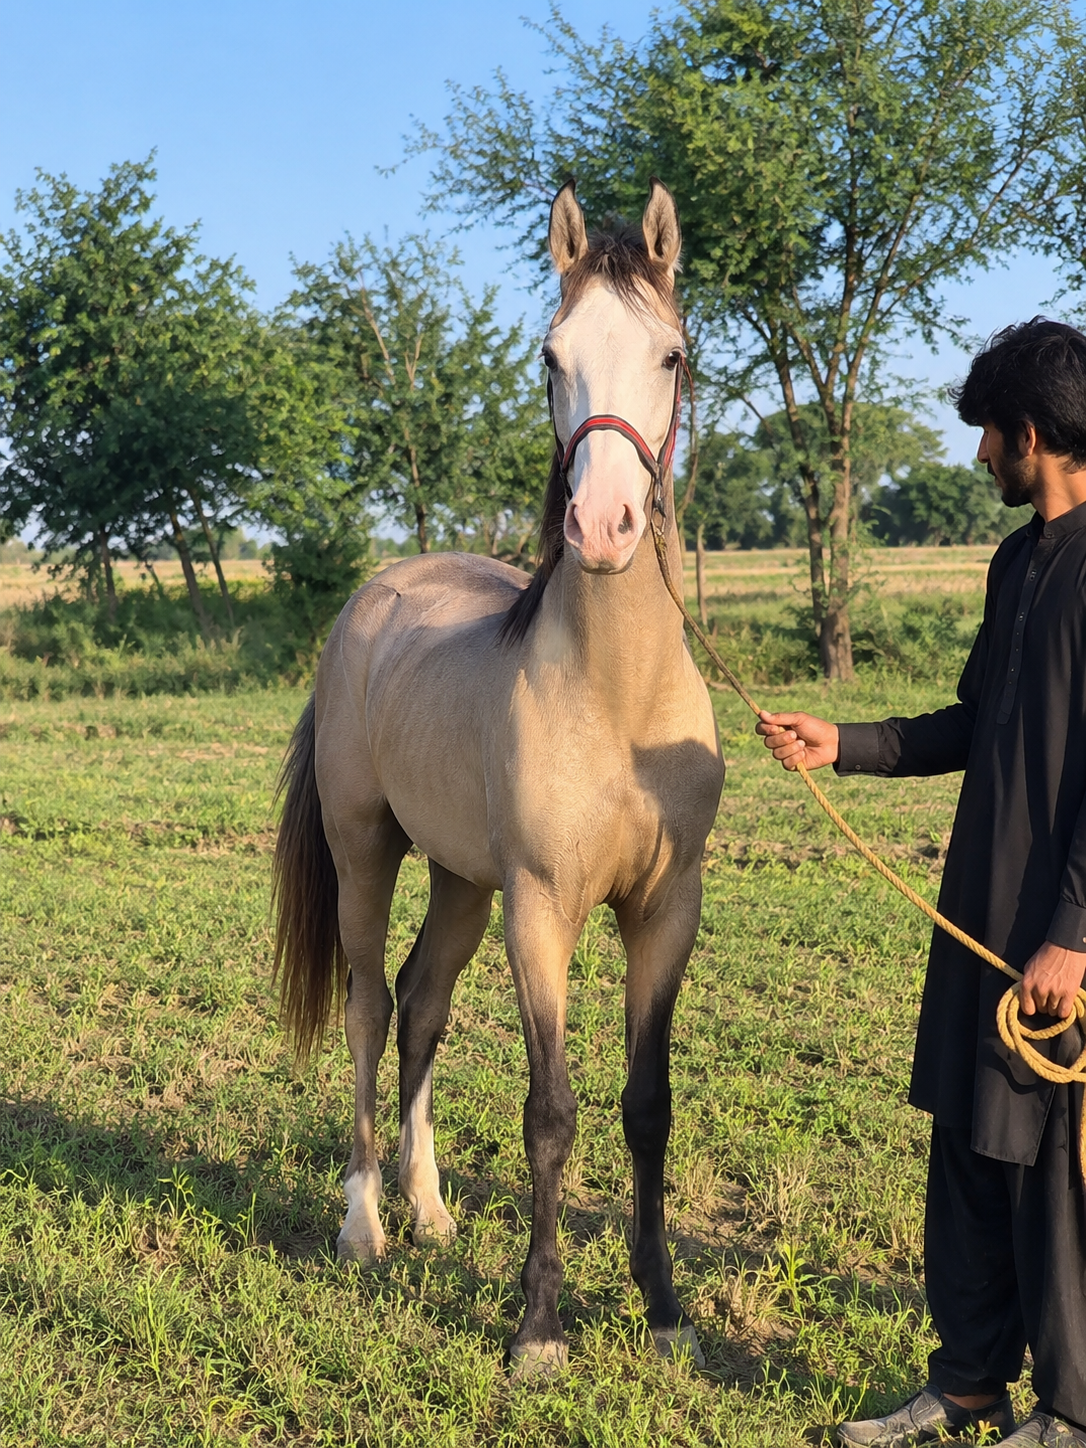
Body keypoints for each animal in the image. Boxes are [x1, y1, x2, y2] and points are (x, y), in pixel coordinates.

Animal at [272, 178, 724, 1377]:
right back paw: (366, 1222)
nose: (604, 525)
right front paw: (538, 1328)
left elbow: (647, 1104)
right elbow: (550, 1113)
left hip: (460, 881)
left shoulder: (664, 911)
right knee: (371, 1006)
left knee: (423, 1005)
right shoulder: (543, 909)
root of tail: (373, 597)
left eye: (671, 354)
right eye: (550, 354)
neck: (616, 698)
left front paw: (665, 1310)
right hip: (370, 854)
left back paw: (429, 1210)